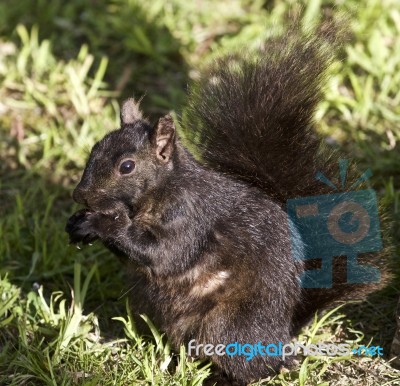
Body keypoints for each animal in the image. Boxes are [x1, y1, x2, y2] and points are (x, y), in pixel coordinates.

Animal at [65, 27, 388, 386]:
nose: (80, 195)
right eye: (95, 148)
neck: (161, 191)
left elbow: (164, 254)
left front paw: (103, 223)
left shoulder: (189, 218)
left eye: (127, 167)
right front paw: (79, 224)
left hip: (228, 324)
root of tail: (281, 334)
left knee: (254, 366)